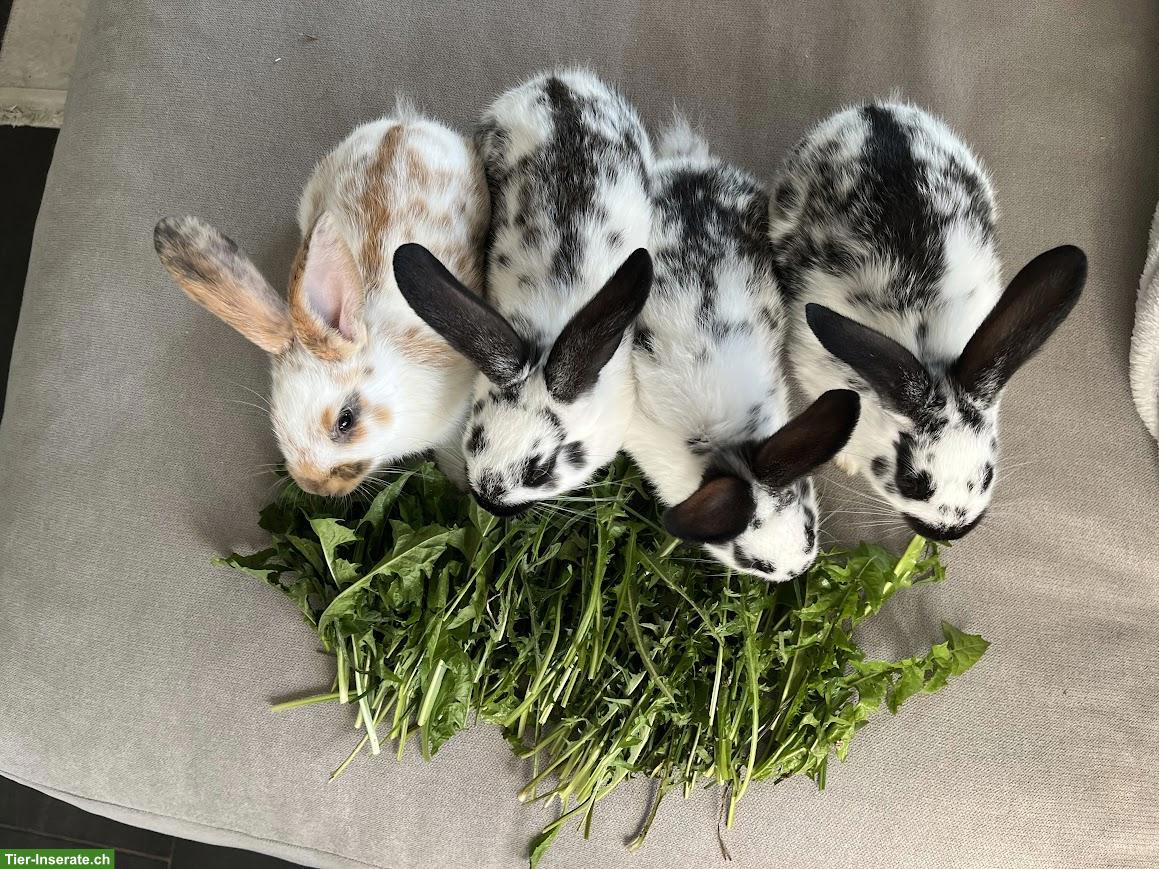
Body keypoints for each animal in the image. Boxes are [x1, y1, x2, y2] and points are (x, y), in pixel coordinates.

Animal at [154, 103, 489, 497]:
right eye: (276, 415)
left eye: (345, 421)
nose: (315, 486)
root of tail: (401, 125)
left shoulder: (454, 415)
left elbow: (451, 449)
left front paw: (460, 484)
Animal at [769, 101, 1087, 541]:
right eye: (912, 482)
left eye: (987, 476)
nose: (949, 532)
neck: (926, 350)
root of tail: (874, 111)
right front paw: (847, 462)